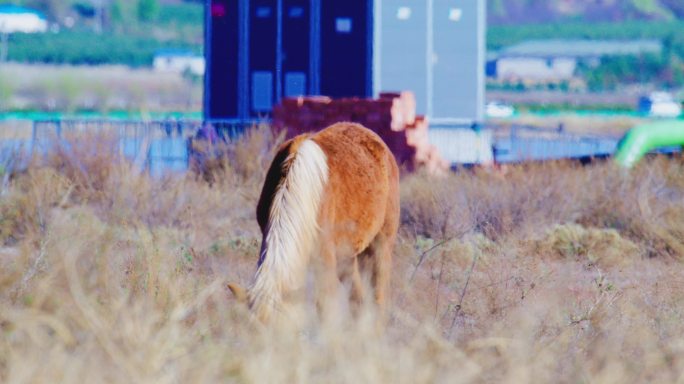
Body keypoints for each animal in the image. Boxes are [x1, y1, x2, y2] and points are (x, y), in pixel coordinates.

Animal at [230, 121, 400, 322]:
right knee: (358, 300)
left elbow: (325, 308)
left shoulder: (324, 261)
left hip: (381, 244)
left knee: (379, 299)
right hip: (347, 256)